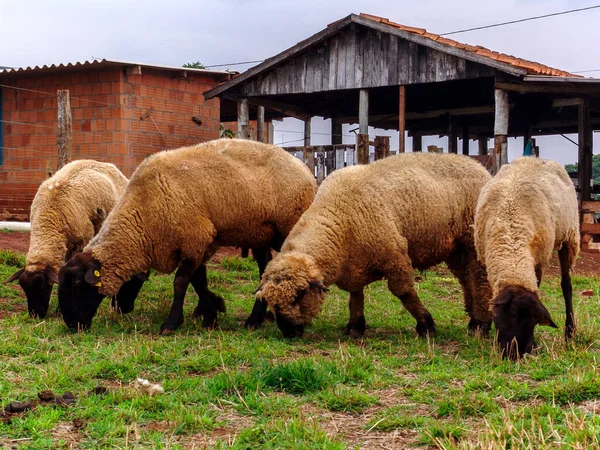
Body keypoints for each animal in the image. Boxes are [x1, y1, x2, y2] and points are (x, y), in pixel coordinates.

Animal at [4, 160, 129, 318]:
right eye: (24, 288)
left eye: (43, 286)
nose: (35, 315)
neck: (49, 217)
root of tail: (109, 165)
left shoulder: (79, 244)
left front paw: (60, 310)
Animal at [57, 140, 318, 334]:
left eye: (77, 283)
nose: (71, 324)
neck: (144, 212)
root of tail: (303, 166)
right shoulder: (196, 243)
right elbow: (198, 281)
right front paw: (211, 311)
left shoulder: (195, 239)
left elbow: (181, 282)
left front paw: (172, 323)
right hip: (259, 233)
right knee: (266, 268)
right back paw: (255, 319)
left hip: (288, 225)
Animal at [253, 151, 492, 338]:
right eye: (271, 301)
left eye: (300, 294)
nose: (287, 332)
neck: (338, 219)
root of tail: (479, 165)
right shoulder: (353, 264)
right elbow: (355, 296)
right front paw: (355, 326)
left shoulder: (395, 255)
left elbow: (404, 293)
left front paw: (426, 325)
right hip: (456, 249)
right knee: (466, 279)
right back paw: (473, 320)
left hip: (472, 242)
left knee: (479, 278)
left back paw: (481, 324)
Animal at [474, 157, 580, 358]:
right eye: (510, 317)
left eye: (534, 322)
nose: (516, 353)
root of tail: (536, 158)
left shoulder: (538, 260)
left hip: (569, 237)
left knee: (567, 286)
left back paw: (570, 333)